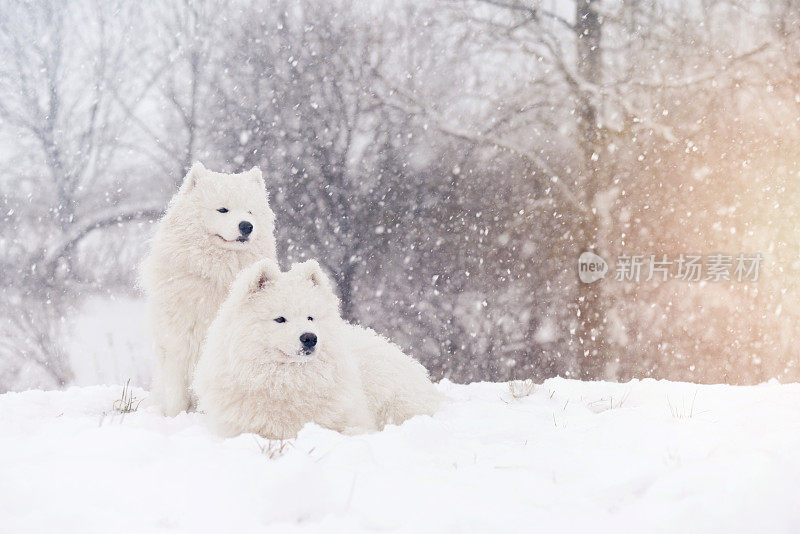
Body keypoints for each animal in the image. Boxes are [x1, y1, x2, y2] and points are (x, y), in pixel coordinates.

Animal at [143, 163, 278, 418]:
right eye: (223, 210)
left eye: (250, 212)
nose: (246, 226)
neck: (218, 274)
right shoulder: (179, 342)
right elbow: (177, 394)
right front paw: (176, 419)